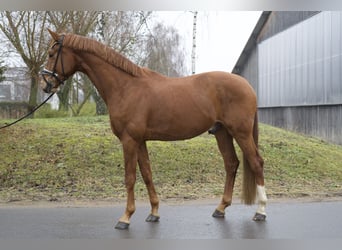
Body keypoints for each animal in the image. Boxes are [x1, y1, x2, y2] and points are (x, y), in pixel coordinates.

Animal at [39, 30, 268, 229]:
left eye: (51, 54)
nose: (45, 84)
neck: (126, 87)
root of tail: (246, 84)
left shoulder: (129, 140)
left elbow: (130, 177)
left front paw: (125, 217)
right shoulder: (140, 141)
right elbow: (147, 174)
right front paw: (154, 212)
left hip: (241, 133)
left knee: (256, 163)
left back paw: (261, 211)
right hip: (222, 132)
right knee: (231, 163)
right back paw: (221, 208)